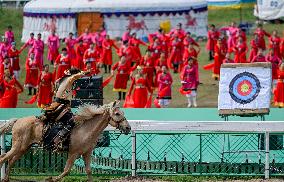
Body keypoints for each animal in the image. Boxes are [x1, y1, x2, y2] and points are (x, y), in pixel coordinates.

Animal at [0, 101, 131, 181]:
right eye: (117, 113)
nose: (128, 128)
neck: (86, 129)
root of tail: (17, 121)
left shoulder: (87, 153)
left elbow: (89, 171)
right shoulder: (73, 153)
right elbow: (66, 170)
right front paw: (51, 179)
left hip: (24, 148)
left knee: (11, 161)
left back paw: (6, 178)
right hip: (17, 146)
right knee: (3, 157)